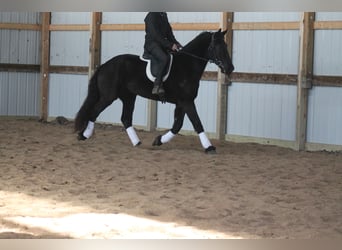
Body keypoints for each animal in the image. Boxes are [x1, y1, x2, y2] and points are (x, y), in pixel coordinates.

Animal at [75, 28, 235, 153]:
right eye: (217, 46)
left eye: (225, 45)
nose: (230, 68)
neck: (187, 65)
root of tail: (105, 65)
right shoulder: (187, 101)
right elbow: (197, 123)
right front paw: (209, 147)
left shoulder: (182, 103)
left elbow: (177, 126)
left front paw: (158, 140)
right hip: (109, 97)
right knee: (94, 112)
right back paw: (84, 135)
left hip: (128, 97)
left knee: (125, 118)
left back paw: (137, 143)